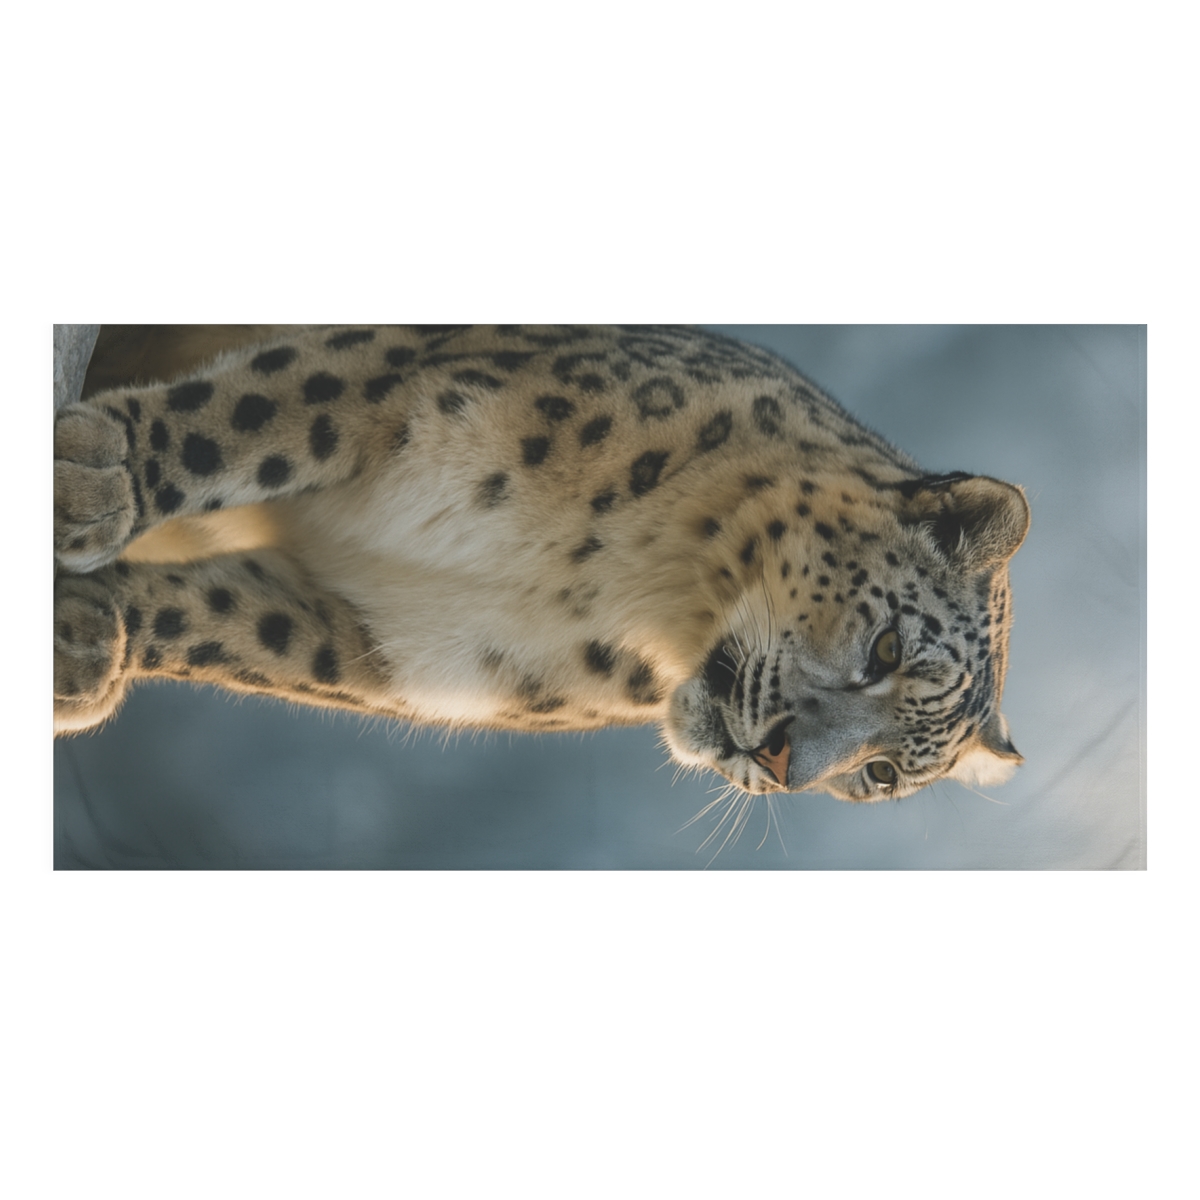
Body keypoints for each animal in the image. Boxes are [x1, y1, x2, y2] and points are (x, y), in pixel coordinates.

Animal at [53, 324, 1030, 802]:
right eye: (887, 648)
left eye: (882, 777)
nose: (787, 764)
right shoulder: (403, 379)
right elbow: (254, 414)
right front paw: (97, 475)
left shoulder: (402, 647)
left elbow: (228, 629)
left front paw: (88, 644)